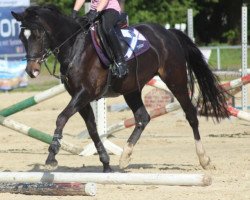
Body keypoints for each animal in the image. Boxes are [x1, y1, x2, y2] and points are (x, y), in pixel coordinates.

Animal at [12, 5, 229, 173]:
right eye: (22, 37)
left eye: (38, 35)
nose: (32, 70)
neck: (75, 48)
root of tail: (168, 33)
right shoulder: (80, 98)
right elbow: (92, 129)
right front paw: (106, 163)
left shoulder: (85, 93)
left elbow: (61, 118)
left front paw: (51, 157)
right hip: (131, 88)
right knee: (143, 117)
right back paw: (125, 157)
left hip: (175, 79)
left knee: (190, 114)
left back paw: (204, 159)